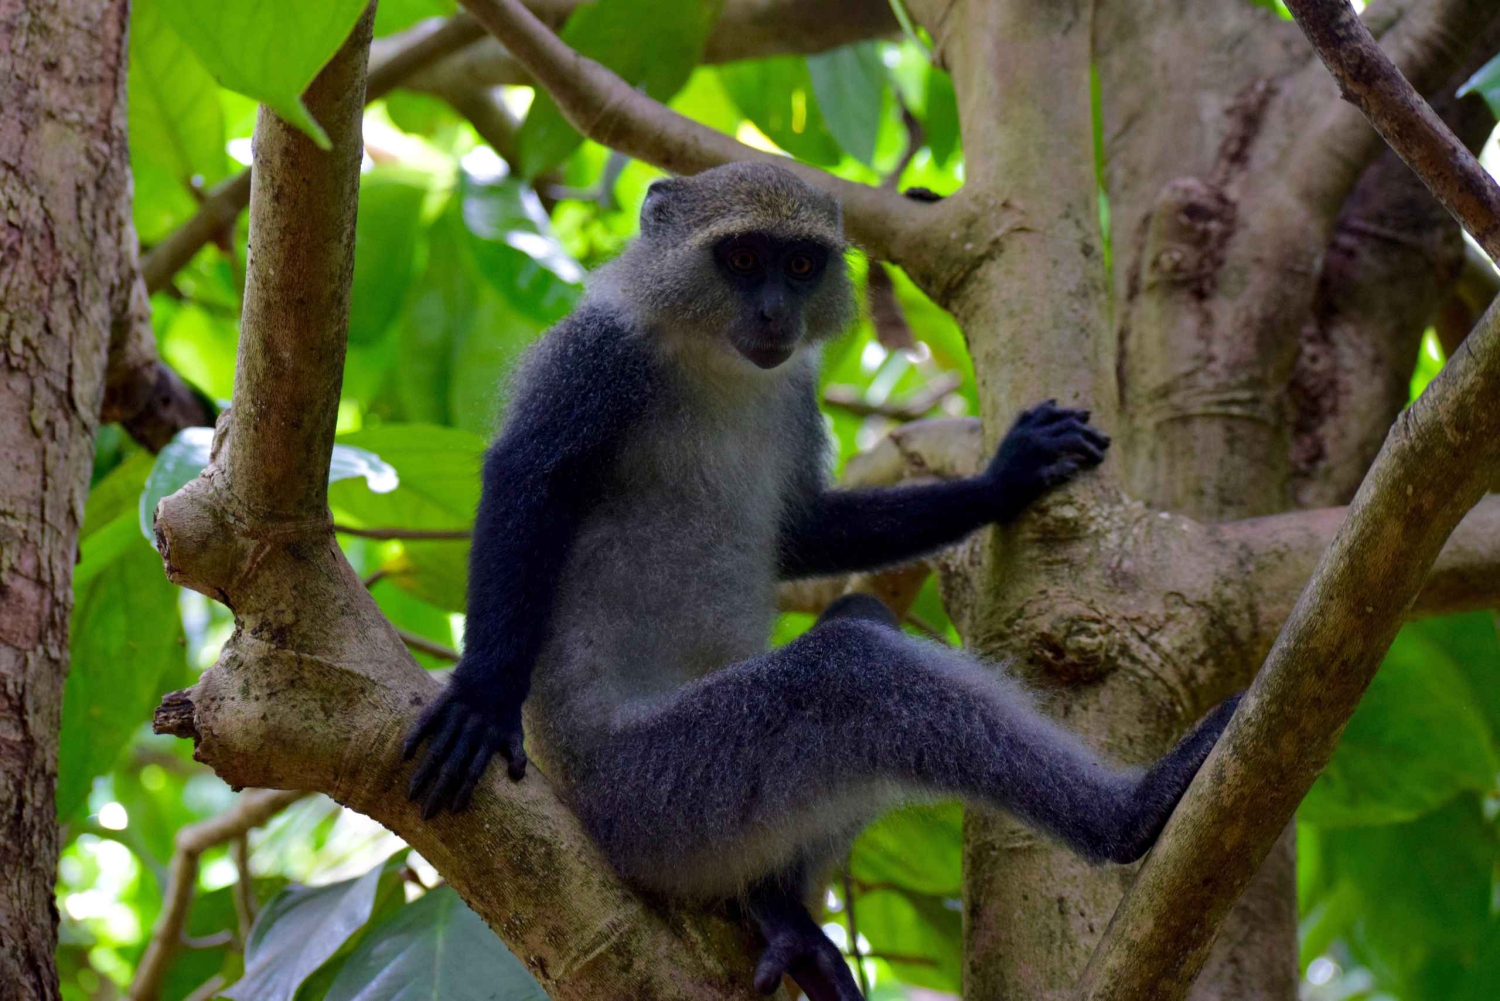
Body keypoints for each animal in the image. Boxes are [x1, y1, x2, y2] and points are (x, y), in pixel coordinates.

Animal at [403, 161, 1241, 1001]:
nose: (775, 310)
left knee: (861, 624)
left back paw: (777, 909)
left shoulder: (793, 392)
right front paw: (482, 698)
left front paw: (1008, 476)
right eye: (743, 258)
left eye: (801, 264)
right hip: (657, 796)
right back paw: (1132, 813)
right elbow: (529, 480)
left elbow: (802, 531)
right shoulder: (595, 356)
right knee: (852, 673)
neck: (715, 358)